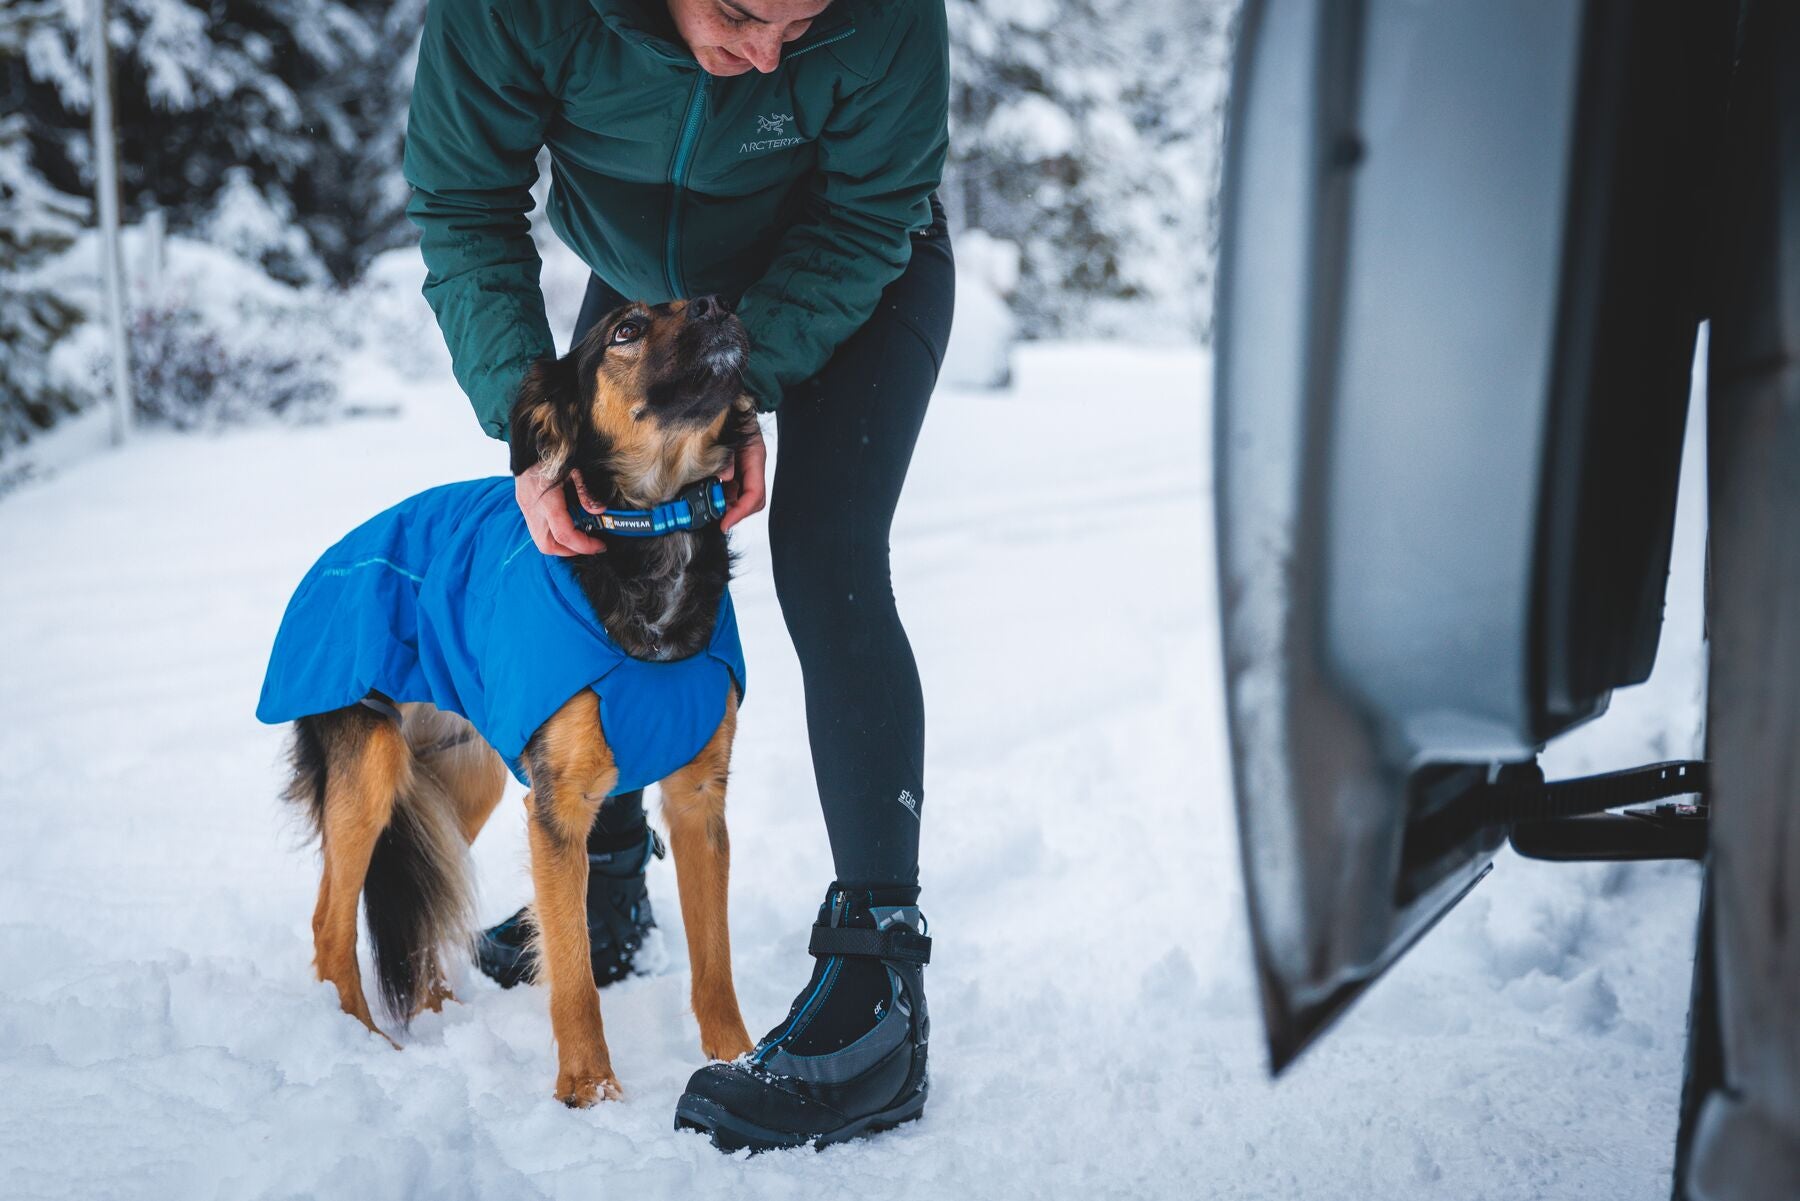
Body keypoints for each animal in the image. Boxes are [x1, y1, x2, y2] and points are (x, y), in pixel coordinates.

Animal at [252, 295, 752, 1101]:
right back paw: (367, 1047)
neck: (651, 527)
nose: (716, 305)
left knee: (418, 908)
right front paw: (590, 1092)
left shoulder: (698, 796)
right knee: (330, 924)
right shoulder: (561, 805)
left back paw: (440, 1017)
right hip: (374, 760)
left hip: (460, 774)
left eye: (700, 298)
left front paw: (739, 1062)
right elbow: (574, 974)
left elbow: (716, 964)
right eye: (626, 330)